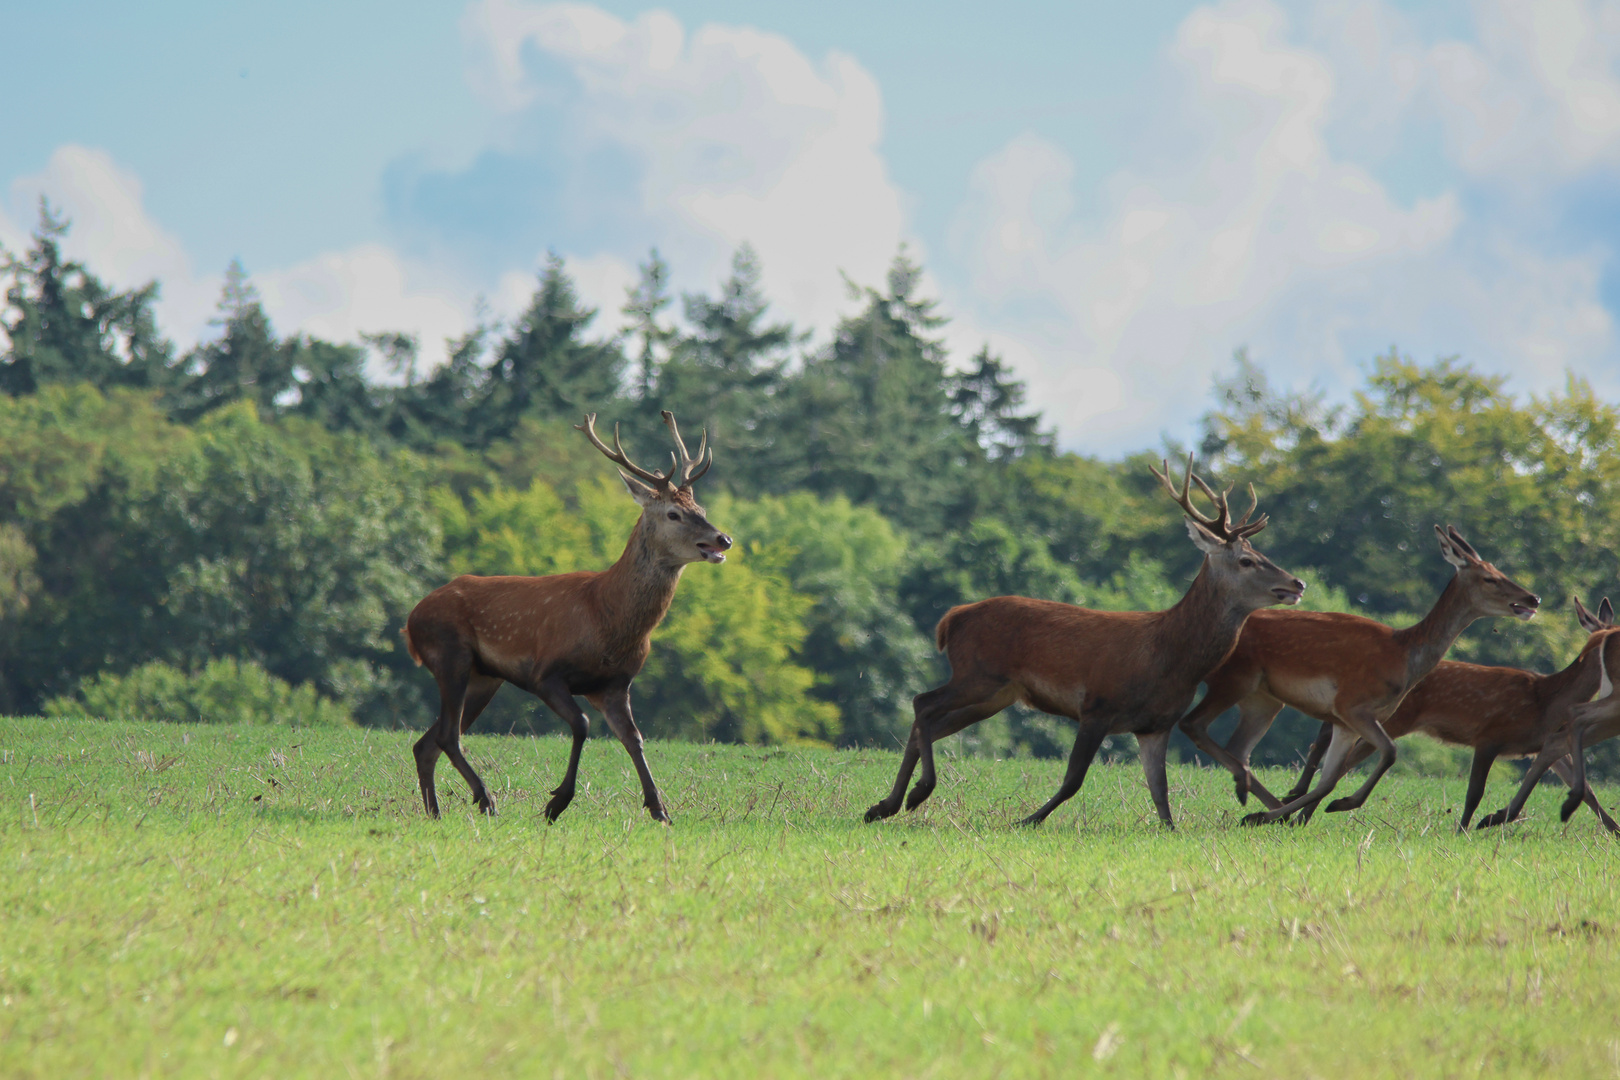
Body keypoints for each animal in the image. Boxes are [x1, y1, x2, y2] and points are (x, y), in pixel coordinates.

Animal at [401, 409, 732, 822]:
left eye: (701, 510)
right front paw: (556, 803)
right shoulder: (546, 672)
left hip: (483, 677)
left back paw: (436, 813)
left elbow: (634, 739)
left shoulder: (615, 684)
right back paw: (485, 798)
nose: (723, 539)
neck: (608, 617)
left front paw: (660, 810)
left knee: (427, 742)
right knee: (448, 734)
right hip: (449, 652)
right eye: (674, 513)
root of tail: (410, 621)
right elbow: (582, 724)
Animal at [861, 456, 1302, 829]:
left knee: (930, 722)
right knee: (922, 703)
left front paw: (1172, 830)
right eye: (1246, 560)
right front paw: (1027, 820)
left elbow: (1161, 795)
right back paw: (914, 795)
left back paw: (884, 806)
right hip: (977, 672)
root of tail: (952, 617)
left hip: (996, 694)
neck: (1170, 658)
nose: (1296, 583)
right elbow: (1073, 779)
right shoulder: (1097, 705)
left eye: (1260, 552)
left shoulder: (1156, 725)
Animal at [1179, 524, 1542, 829]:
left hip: (1262, 698)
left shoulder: (1345, 721)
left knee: (1237, 747)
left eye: (1502, 571)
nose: (1532, 598)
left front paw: (1282, 814)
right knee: (1194, 725)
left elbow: (1330, 777)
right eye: (1489, 578)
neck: (1403, 657)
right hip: (1233, 679)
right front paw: (1335, 805)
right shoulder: (1352, 705)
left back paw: (1254, 798)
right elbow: (1390, 752)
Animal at [1276, 595, 1607, 835]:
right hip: (1392, 720)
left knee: (1334, 748)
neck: (1546, 699)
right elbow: (1474, 792)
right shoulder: (1490, 736)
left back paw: (1298, 808)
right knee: (1339, 755)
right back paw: (1298, 810)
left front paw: (1612, 831)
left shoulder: (1539, 743)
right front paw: (1463, 831)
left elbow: (1586, 789)